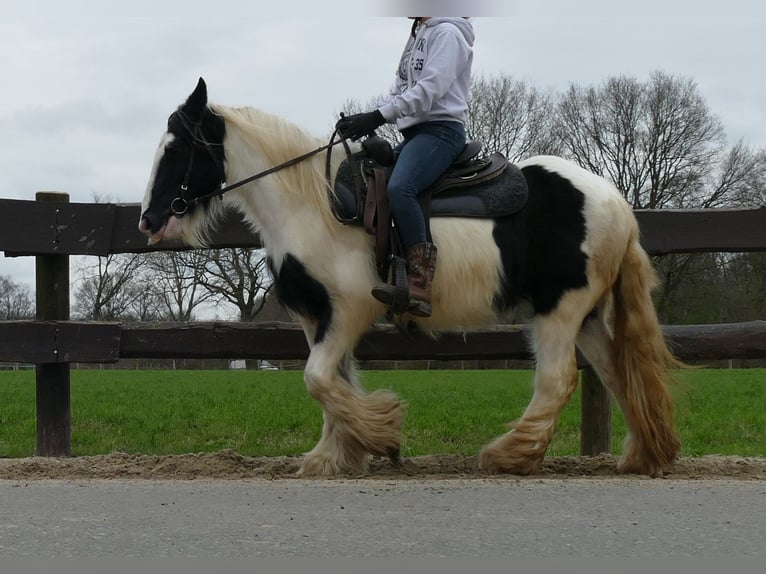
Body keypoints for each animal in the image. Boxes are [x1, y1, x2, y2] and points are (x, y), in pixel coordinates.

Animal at [141, 79, 680, 480]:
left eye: (178, 148)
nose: (149, 220)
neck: (313, 204)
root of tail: (616, 204)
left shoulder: (349, 310)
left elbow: (318, 379)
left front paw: (382, 435)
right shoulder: (317, 317)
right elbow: (332, 383)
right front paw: (334, 455)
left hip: (560, 310)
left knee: (557, 379)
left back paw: (510, 455)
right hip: (583, 315)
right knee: (615, 371)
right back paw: (640, 455)